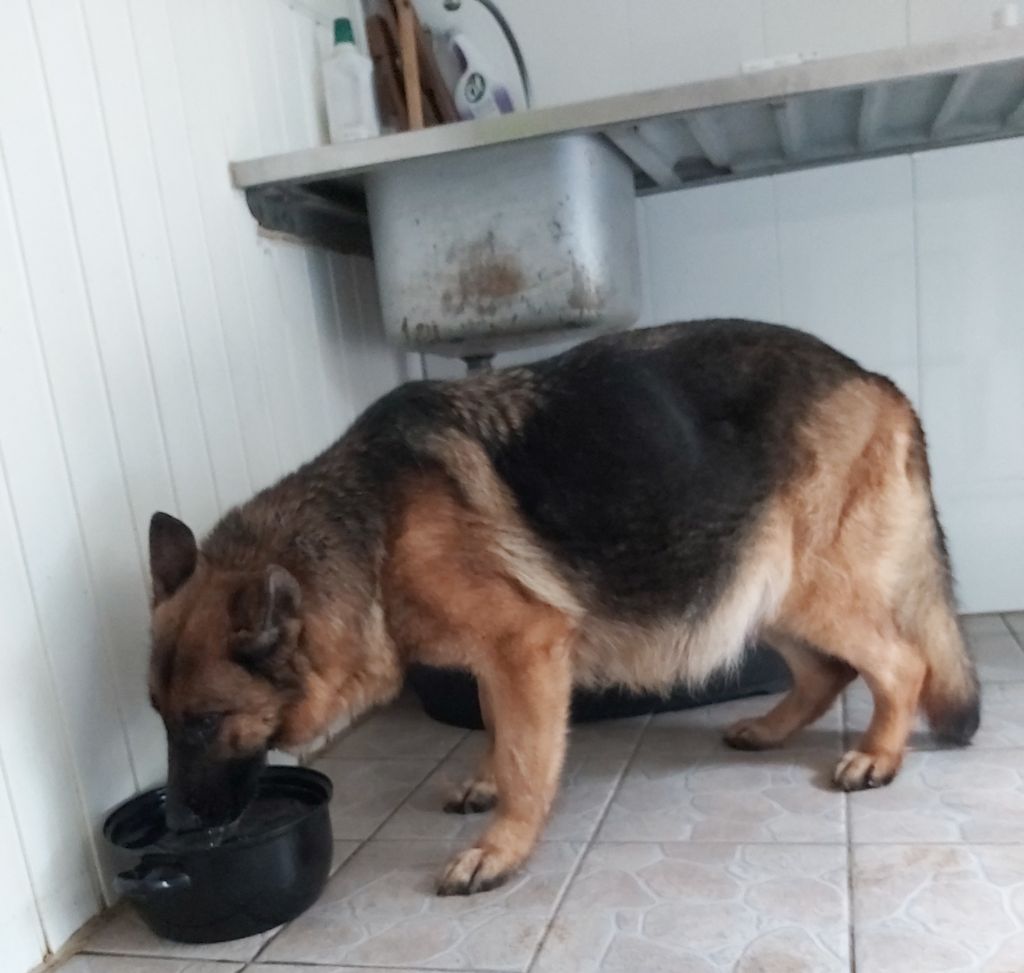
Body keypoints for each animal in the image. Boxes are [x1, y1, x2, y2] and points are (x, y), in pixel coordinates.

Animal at [149, 321, 974, 897]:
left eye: (205, 721)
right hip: (754, 584)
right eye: (160, 717)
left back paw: (878, 755)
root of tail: (879, 381)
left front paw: (502, 845)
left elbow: (525, 755)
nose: (179, 823)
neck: (373, 523)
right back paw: (770, 729)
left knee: (903, 662)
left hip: (807, 583)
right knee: (829, 672)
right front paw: (485, 782)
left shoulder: (525, 642)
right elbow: (495, 723)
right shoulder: (497, 656)